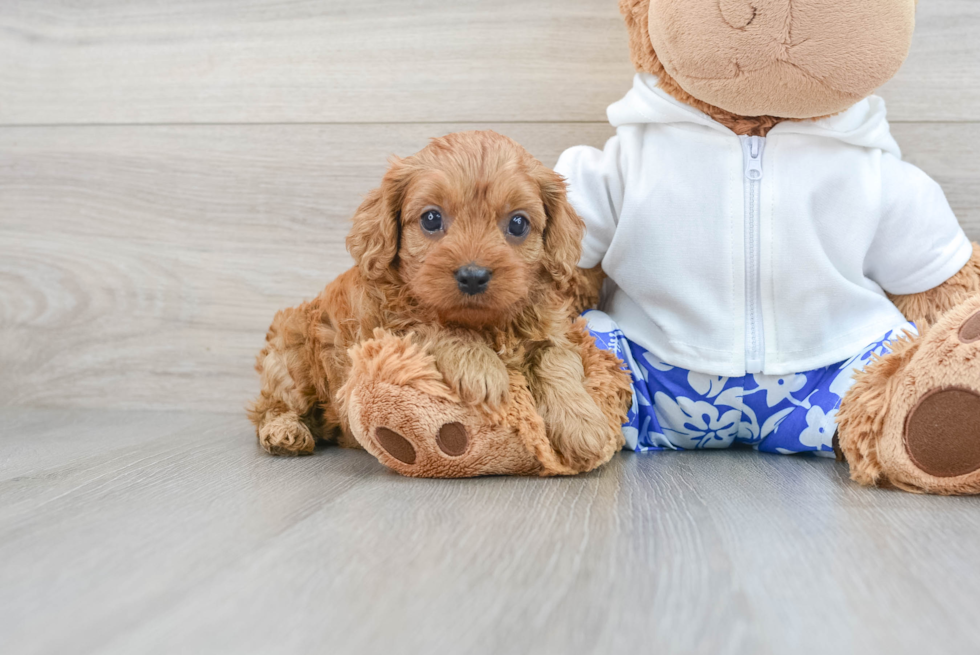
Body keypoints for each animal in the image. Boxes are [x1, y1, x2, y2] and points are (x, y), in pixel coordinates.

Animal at [249, 131, 632, 476]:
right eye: (431, 219)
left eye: (518, 223)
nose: (473, 276)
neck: (486, 323)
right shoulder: (382, 326)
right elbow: (432, 327)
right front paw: (484, 370)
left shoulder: (553, 329)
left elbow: (558, 360)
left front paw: (584, 427)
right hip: (291, 358)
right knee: (271, 405)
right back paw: (284, 431)